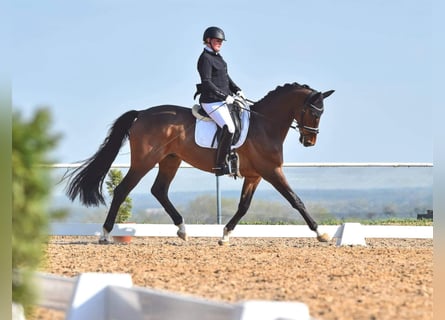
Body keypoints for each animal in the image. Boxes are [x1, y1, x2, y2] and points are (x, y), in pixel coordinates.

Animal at [65, 81, 332, 244]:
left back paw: (183, 230)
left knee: (159, 190)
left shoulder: (254, 175)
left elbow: (243, 207)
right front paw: (321, 233)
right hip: (144, 161)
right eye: (314, 113)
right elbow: (295, 200)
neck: (264, 125)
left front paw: (225, 236)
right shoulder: (271, 171)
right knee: (122, 190)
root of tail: (141, 114)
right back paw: (105, 235)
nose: (310, 141)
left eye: (321, 114)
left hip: (170, 161)